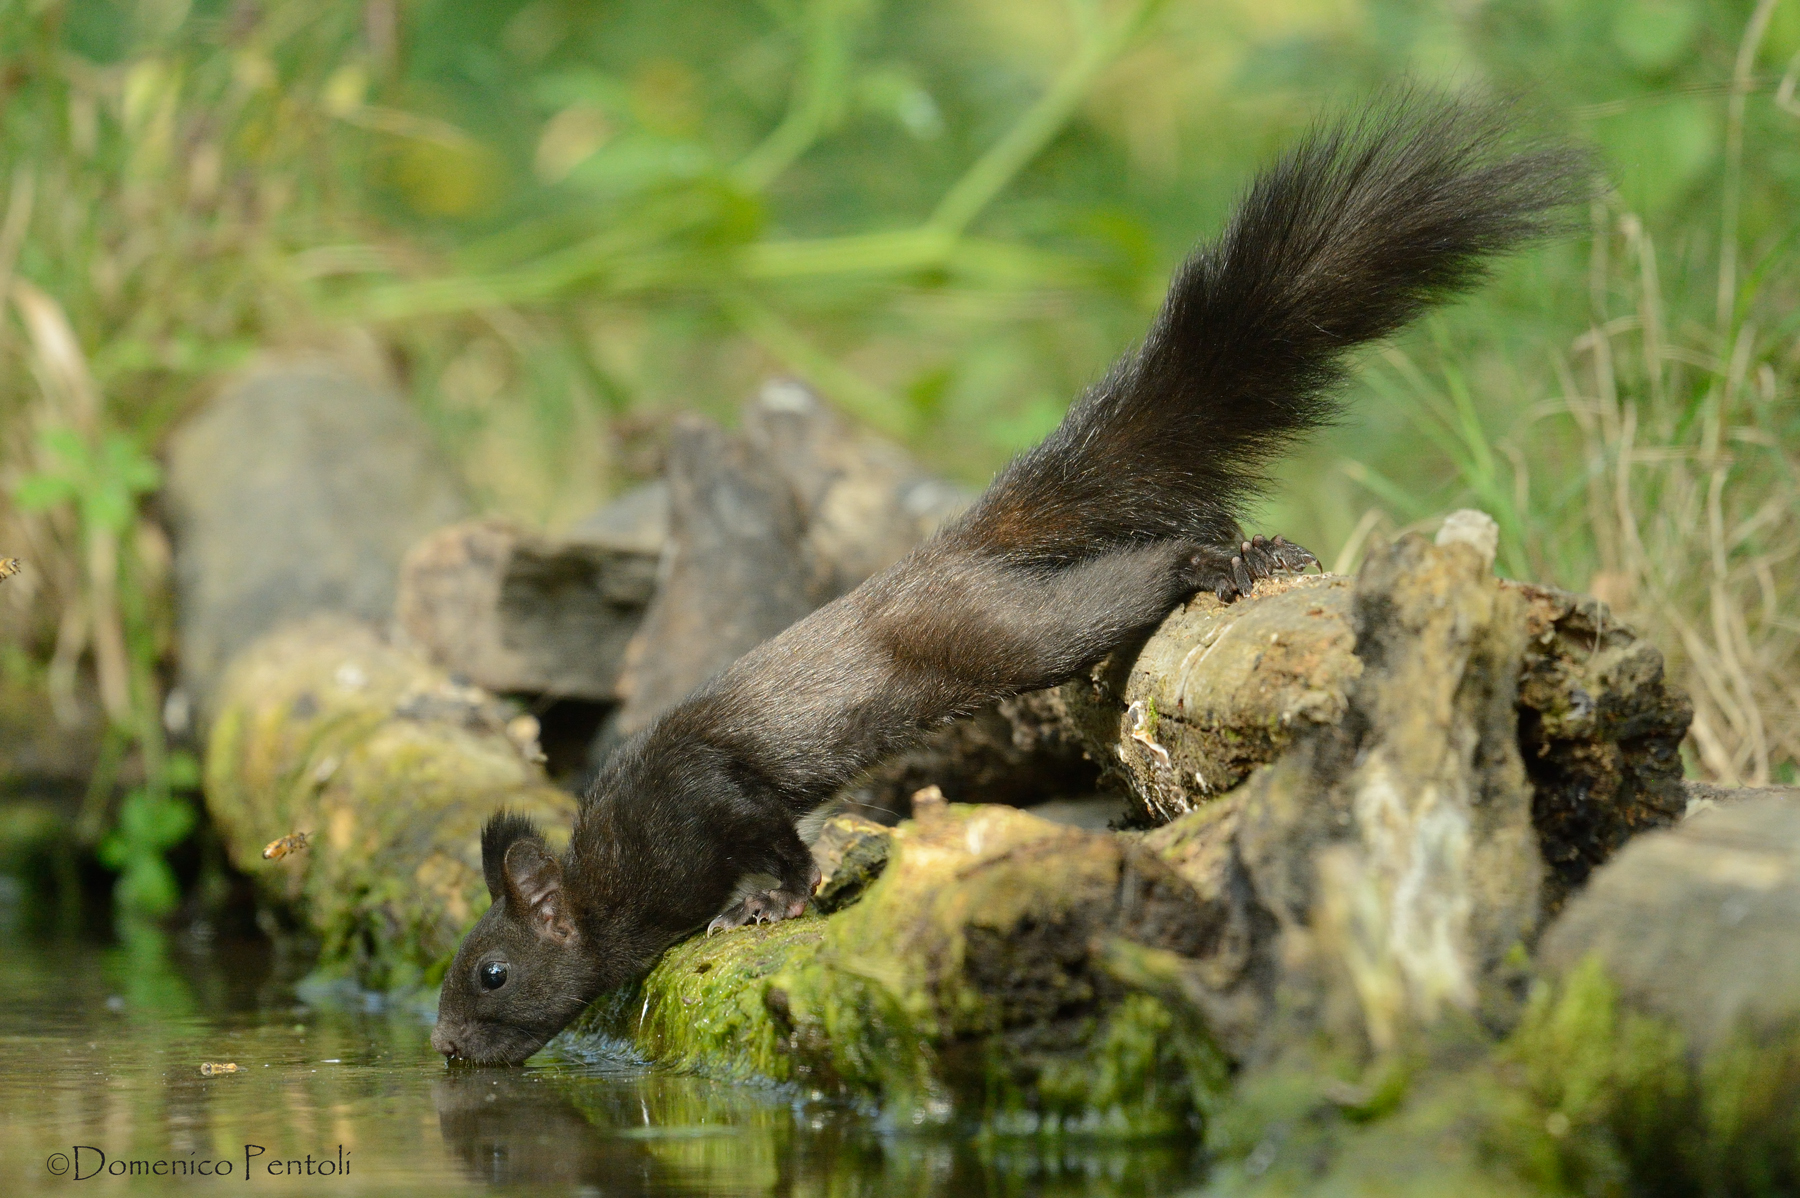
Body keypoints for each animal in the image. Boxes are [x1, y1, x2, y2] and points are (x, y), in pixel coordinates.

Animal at [431, 96, 1584, 1065]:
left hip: (1010, 630)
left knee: (1140, 571)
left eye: (488, 972)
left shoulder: (700, 796)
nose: (441, 1045)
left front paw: (765, 905)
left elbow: (771, 837)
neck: (611, 877)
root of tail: (955, 546)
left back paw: (1232, 562)